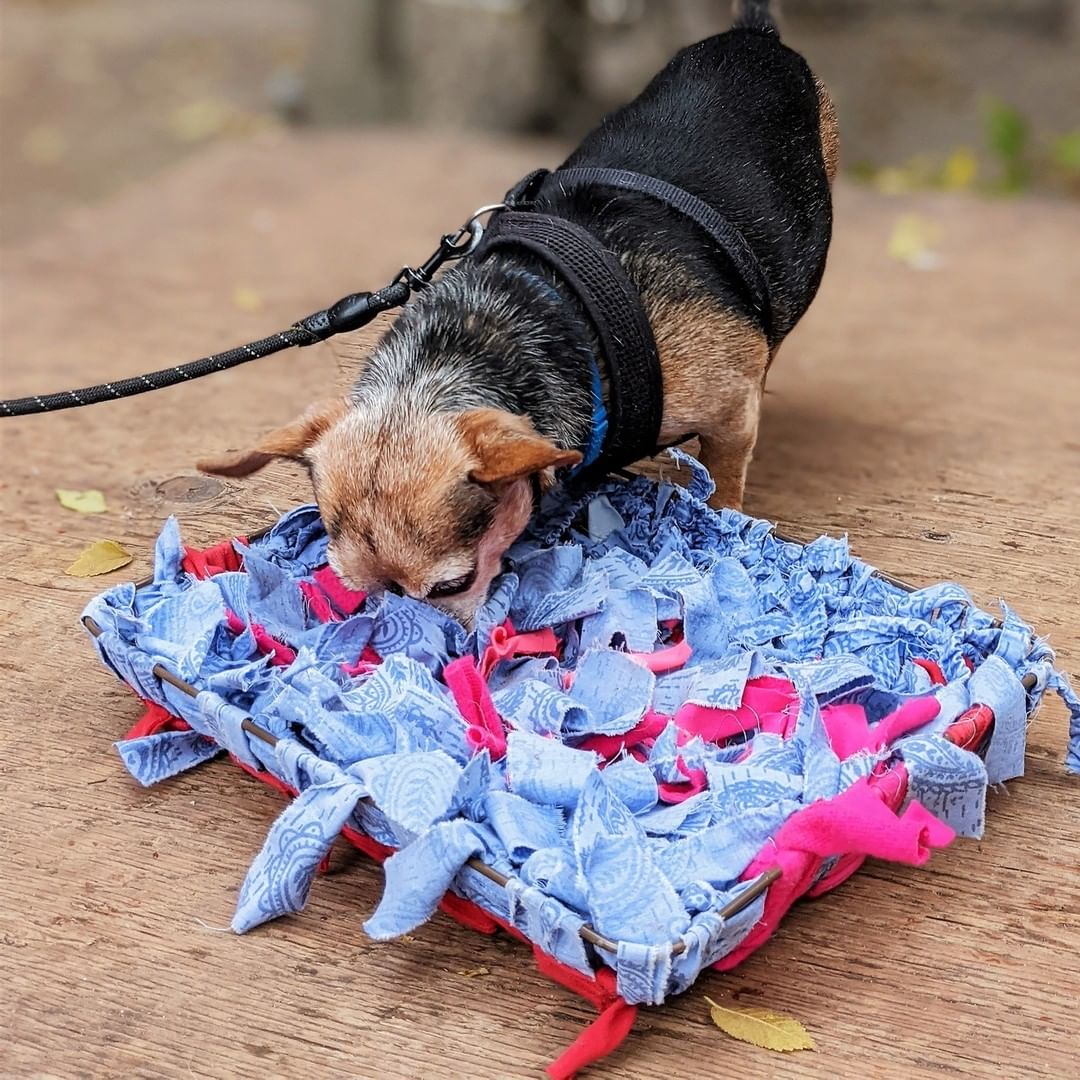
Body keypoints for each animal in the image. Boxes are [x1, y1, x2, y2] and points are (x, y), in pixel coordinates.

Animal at [200, 2, 833, 626]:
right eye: (358, 589)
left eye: (452, 584)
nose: (428, 642)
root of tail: (752, 35)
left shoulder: (729, 413)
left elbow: (724, 484)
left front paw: (727, 530)